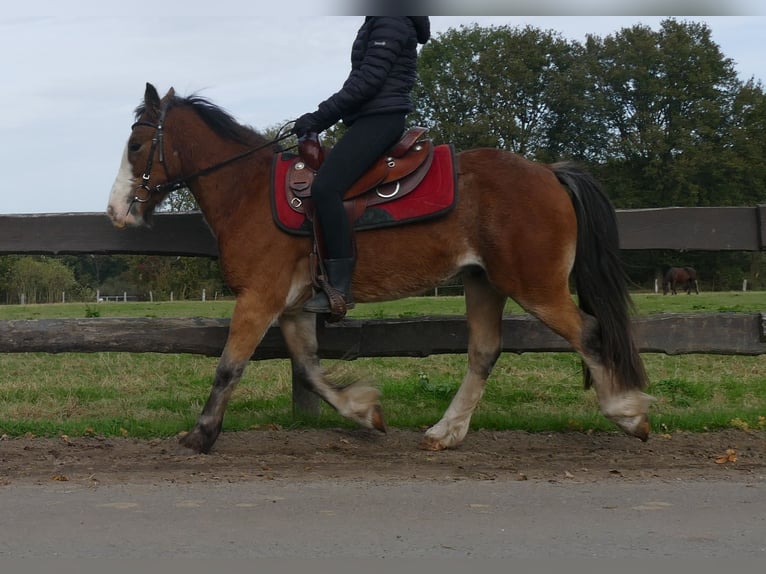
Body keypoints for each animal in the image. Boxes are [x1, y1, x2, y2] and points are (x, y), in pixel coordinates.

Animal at [105, 84, 652, 454]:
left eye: (135, 146)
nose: (116, 211)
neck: (249, 192)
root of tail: (549, 173)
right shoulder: (293, 307)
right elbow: (309, 371)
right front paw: (365, 413)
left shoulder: (259, 299)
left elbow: (228, 367)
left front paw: (201, 434)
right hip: (484, 282)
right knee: (484, 352)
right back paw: (446, 432)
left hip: (536, 286)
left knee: (590, 332)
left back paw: (627, 413)